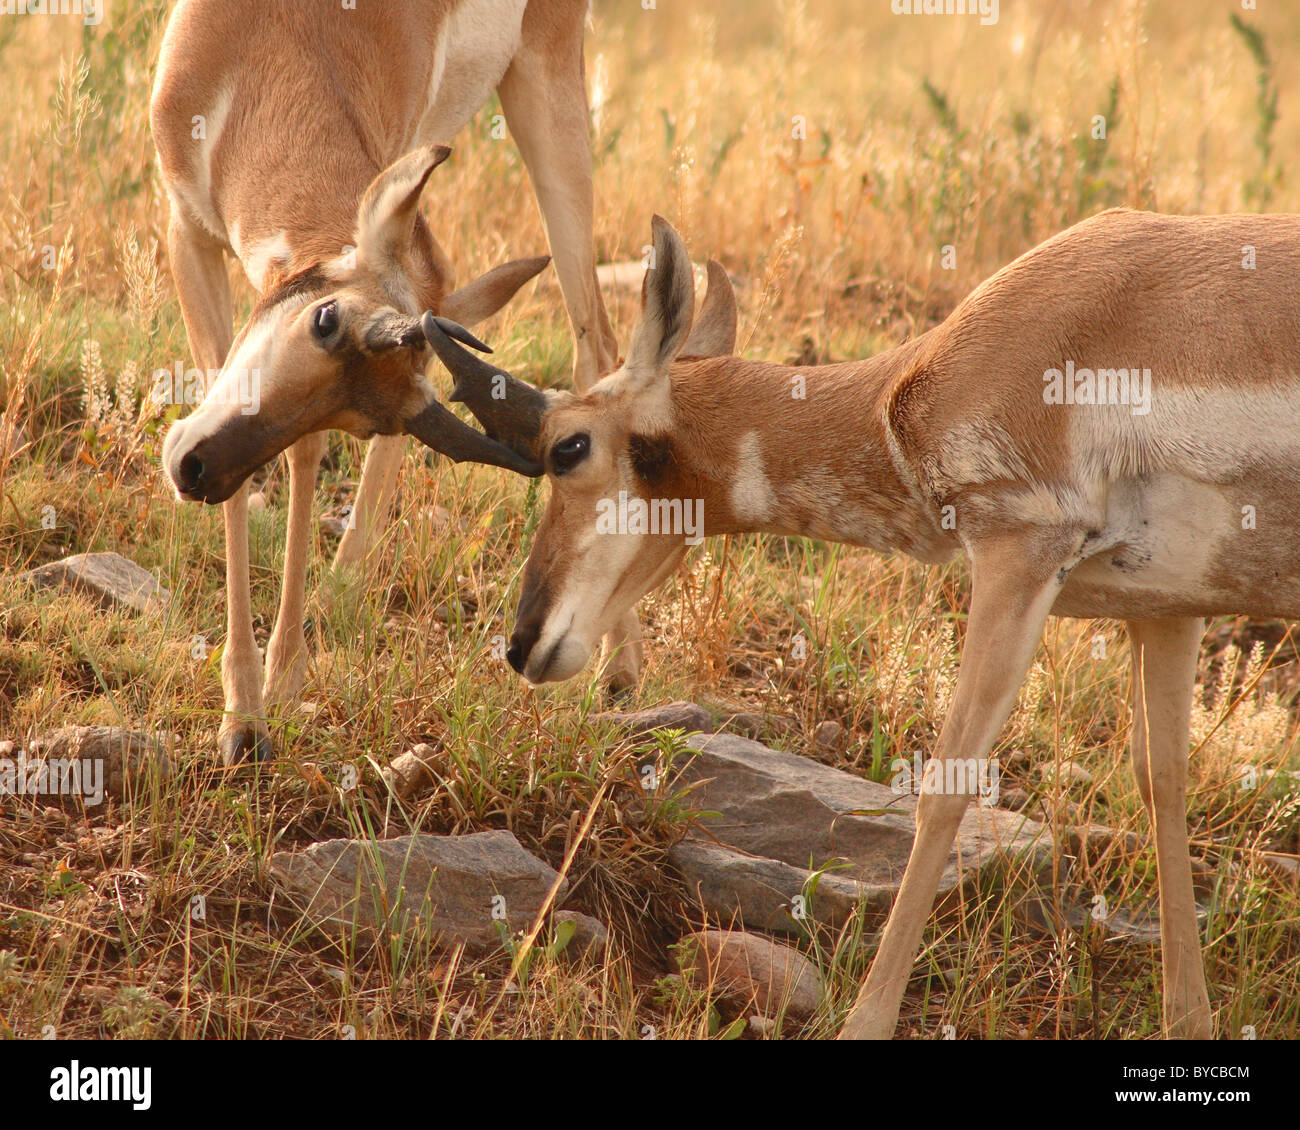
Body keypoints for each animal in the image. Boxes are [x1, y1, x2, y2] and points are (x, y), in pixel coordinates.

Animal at [149, 0, 631, 764]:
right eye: (324, 319)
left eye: (361, 417)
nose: (197, 470)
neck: (278, 42)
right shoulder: (187, 232)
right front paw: (244, 717)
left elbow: (304, 453)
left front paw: (270, 693)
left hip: (547, 86)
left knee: (595, 345)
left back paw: (617, 673)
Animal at [418, 206, 1300, 1035]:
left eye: (567, 446)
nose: (522, 645)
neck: (912, 385)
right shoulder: (1166, 607)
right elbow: (1162, 782)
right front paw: (1190, 1019)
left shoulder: (1017, 554)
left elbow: (946, 785)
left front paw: (864, 1021)